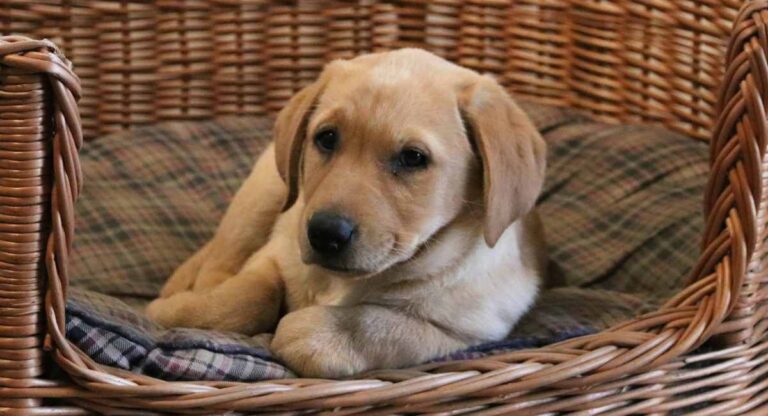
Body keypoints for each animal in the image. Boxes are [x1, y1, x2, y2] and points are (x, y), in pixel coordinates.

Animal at [147, 48, 544, 376]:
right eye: (326, 137)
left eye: (413, 158)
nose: (324, 234)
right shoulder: (274, 253)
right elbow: (248, 296)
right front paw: (174, 312)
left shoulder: (466, 328)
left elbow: (382, 325)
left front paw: (313, 336)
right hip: (265, 194)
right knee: (219, 260)